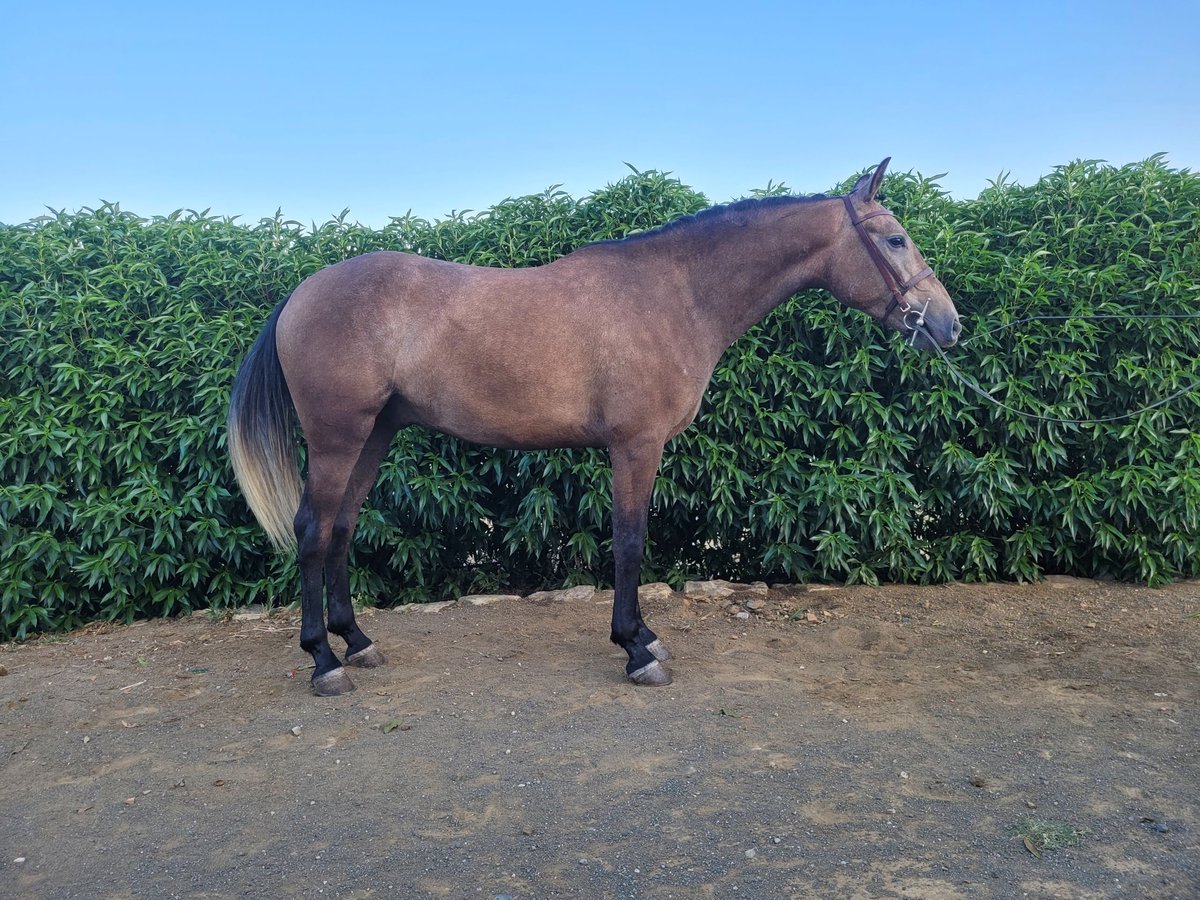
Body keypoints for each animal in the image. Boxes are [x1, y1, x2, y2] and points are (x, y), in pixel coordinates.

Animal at [223, 160, 955, 696]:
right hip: (339, 437)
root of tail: (301, 292)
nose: (947, 325)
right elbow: (629, 543)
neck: (674, 294)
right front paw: (637, 649)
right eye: (894, 238)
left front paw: (644, 637)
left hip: (374, 435)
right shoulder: (635, 447)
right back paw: (324, 662)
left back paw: (358, 642)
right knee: (313, 530)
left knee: (342, 528)